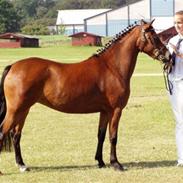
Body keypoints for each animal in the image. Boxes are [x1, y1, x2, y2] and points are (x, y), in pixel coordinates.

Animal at [0, 19, 171, 174]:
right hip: (16, 110)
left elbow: (101, 135)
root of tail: (13, 66)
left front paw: (101, 162)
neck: (112, 67)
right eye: (154, 37)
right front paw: (116, 164)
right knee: (3, 131)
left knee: (16, 135)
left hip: (24, 110)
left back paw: (22, 165)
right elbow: (113, 136)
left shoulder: (105, 111)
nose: (168, 55)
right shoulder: (116, 110)